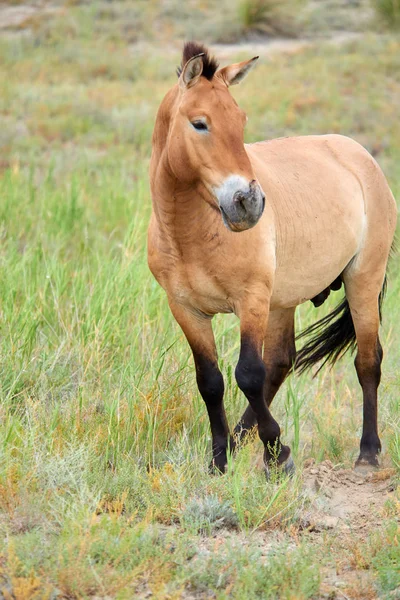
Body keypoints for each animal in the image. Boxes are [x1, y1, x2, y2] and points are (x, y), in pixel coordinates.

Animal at [148, 39, 396, 476]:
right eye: (200, 124)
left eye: (241, 120)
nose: (248, 203)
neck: (189, 233)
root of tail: (359, 154)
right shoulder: (186, 310)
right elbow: (211, 381)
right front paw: (221, 458)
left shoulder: (251, 301)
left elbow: (248, 374)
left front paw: (277, 455)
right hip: (283, 301)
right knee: (281, 362)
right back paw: (244, 441)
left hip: (362, 281)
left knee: (368, 361)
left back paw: (367, 453)